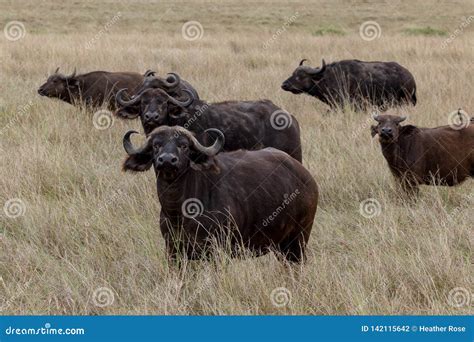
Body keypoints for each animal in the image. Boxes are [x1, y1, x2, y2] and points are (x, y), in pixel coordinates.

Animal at [121, 125, 318, 262]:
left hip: (298, 241)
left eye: (184, 146)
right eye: (156, 145)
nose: (167, 160)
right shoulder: (173, 251)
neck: (179, 212)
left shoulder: (215, 249)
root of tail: (306, 177)